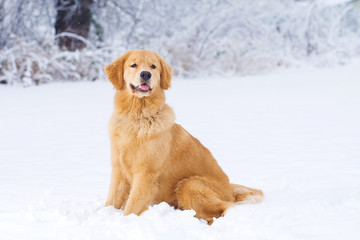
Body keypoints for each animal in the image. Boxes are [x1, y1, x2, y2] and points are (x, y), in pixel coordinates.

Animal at [103, 49, 262, 224]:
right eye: (133, 65)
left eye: (153, 66)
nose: (145, 74)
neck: (137, 117)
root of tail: (230, 190)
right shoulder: (118, 170)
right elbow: (111, 201)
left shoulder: (146, 175)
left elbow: (130, 209)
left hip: (188, 184)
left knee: (223, 210)